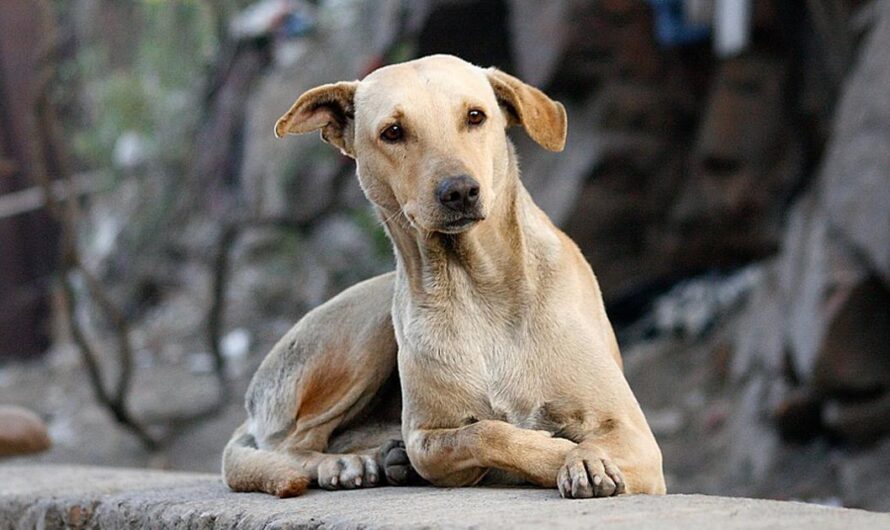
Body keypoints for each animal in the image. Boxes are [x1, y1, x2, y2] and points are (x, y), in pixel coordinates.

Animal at [224, 55, 664, 498]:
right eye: (393, 132)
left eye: (475, 116)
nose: (459, 191)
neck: (477, 287)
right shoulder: (428, 437)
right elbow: (482, 433)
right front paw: (556, 453)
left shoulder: (636, 436)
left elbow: (590, 441)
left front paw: (585, 459)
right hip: (364, 334)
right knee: (291, 443)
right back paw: (348, 462)